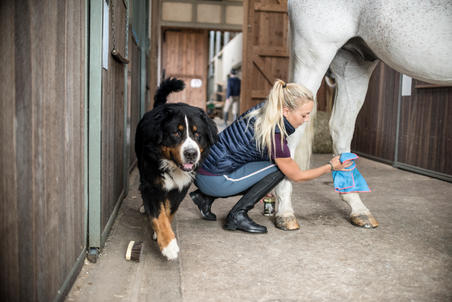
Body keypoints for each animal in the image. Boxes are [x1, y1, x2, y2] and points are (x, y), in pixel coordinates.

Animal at [135, 77, 218, 260]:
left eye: (197, 134)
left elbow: (169, 211)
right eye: (176, 133)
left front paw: (159, 234)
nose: (191, 153)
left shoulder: (181, 188)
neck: (172, 166)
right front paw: (169, 245)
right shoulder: (151, 185)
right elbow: (159, 216)